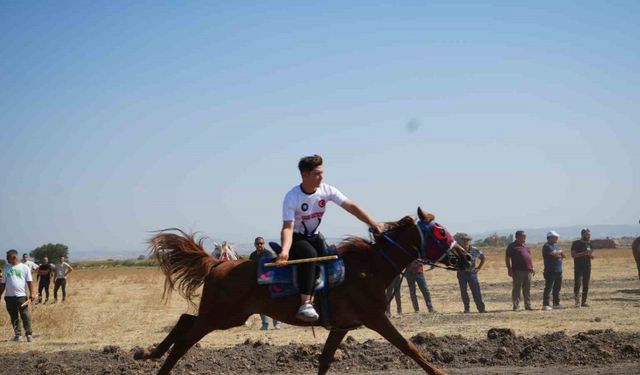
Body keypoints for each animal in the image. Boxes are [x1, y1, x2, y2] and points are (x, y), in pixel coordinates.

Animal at [135, 209, 472, 375]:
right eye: (440, 232)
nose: (467, 257)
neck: (370, 267)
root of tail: (218, 264)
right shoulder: (376, 318)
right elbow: (410, 347)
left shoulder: (341, 326)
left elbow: (324, 359)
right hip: (221, 317)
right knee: (184, 339)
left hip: (227, 316)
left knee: (184, 321)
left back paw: (149, 353)